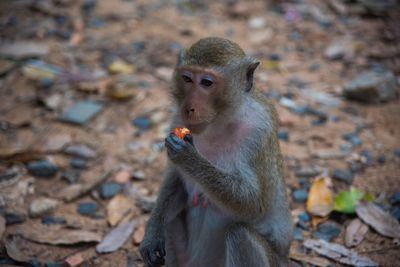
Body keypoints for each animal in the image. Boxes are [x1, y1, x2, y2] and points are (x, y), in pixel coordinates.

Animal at [139, 37, 292, 267]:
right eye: (187, 78)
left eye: (207, 83)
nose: (189, 108)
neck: (219, 123)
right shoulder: (177, 119)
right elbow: (176, 179)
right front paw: (152, 232)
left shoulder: (259, 131)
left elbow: (255, 205)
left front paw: (189, 158)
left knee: (239, 234)